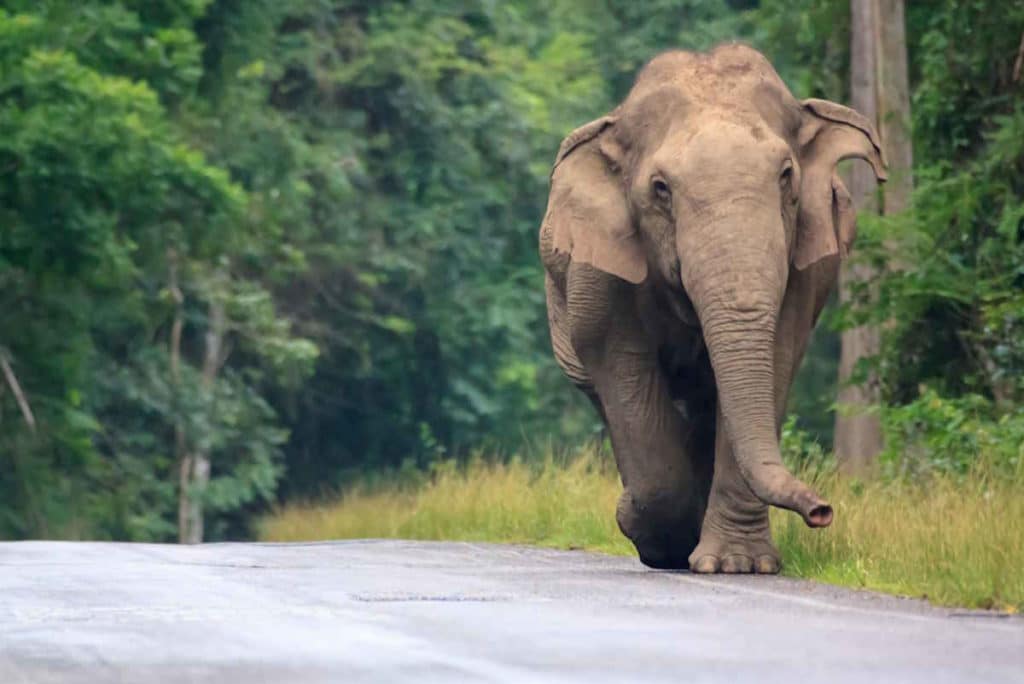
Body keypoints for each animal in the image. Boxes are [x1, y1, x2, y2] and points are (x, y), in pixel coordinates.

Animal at [539, 44, 886, 573]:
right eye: (660, 188)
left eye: (786, 176)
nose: (822, 511)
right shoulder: (601, 270)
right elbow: (622, 366)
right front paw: (655, 537)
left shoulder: (807, 263)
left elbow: (776, 358)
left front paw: (736, 565)